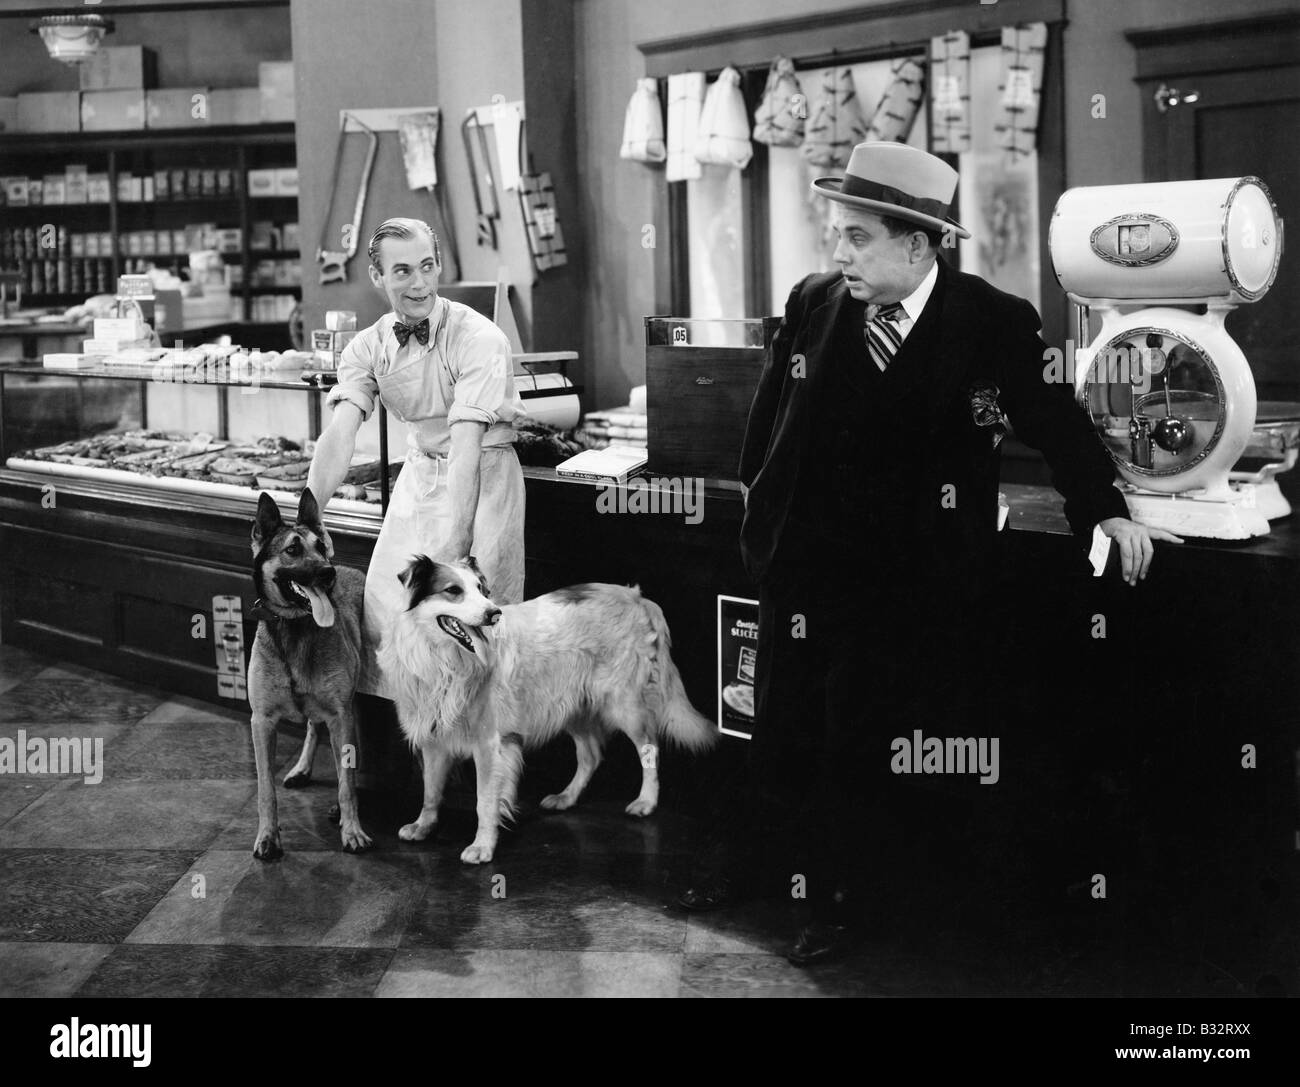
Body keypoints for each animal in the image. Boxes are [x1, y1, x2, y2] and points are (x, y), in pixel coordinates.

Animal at [248, 491, 371, 858]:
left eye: (321, 546)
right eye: (292, 549)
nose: (328, 573)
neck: (294, 627)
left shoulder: (341, 716)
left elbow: (346, 785)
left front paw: (352, 830)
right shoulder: (261, 722)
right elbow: (266, 790)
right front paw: (267, 836)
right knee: (313, 727)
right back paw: (302, 768)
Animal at [377, 556, 722, 863]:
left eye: (481, 590)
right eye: (453, 590)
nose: (494, 613)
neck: (444, 662)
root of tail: (637, 597)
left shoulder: (488, 744)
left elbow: (485, 801)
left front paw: (482, 847)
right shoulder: (434, 740)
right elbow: (431, 791)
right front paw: (423, 826)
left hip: (625, 704)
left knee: (649, 747)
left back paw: (646, 801)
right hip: (573, 705)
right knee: (591, 755)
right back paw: (566, 798)